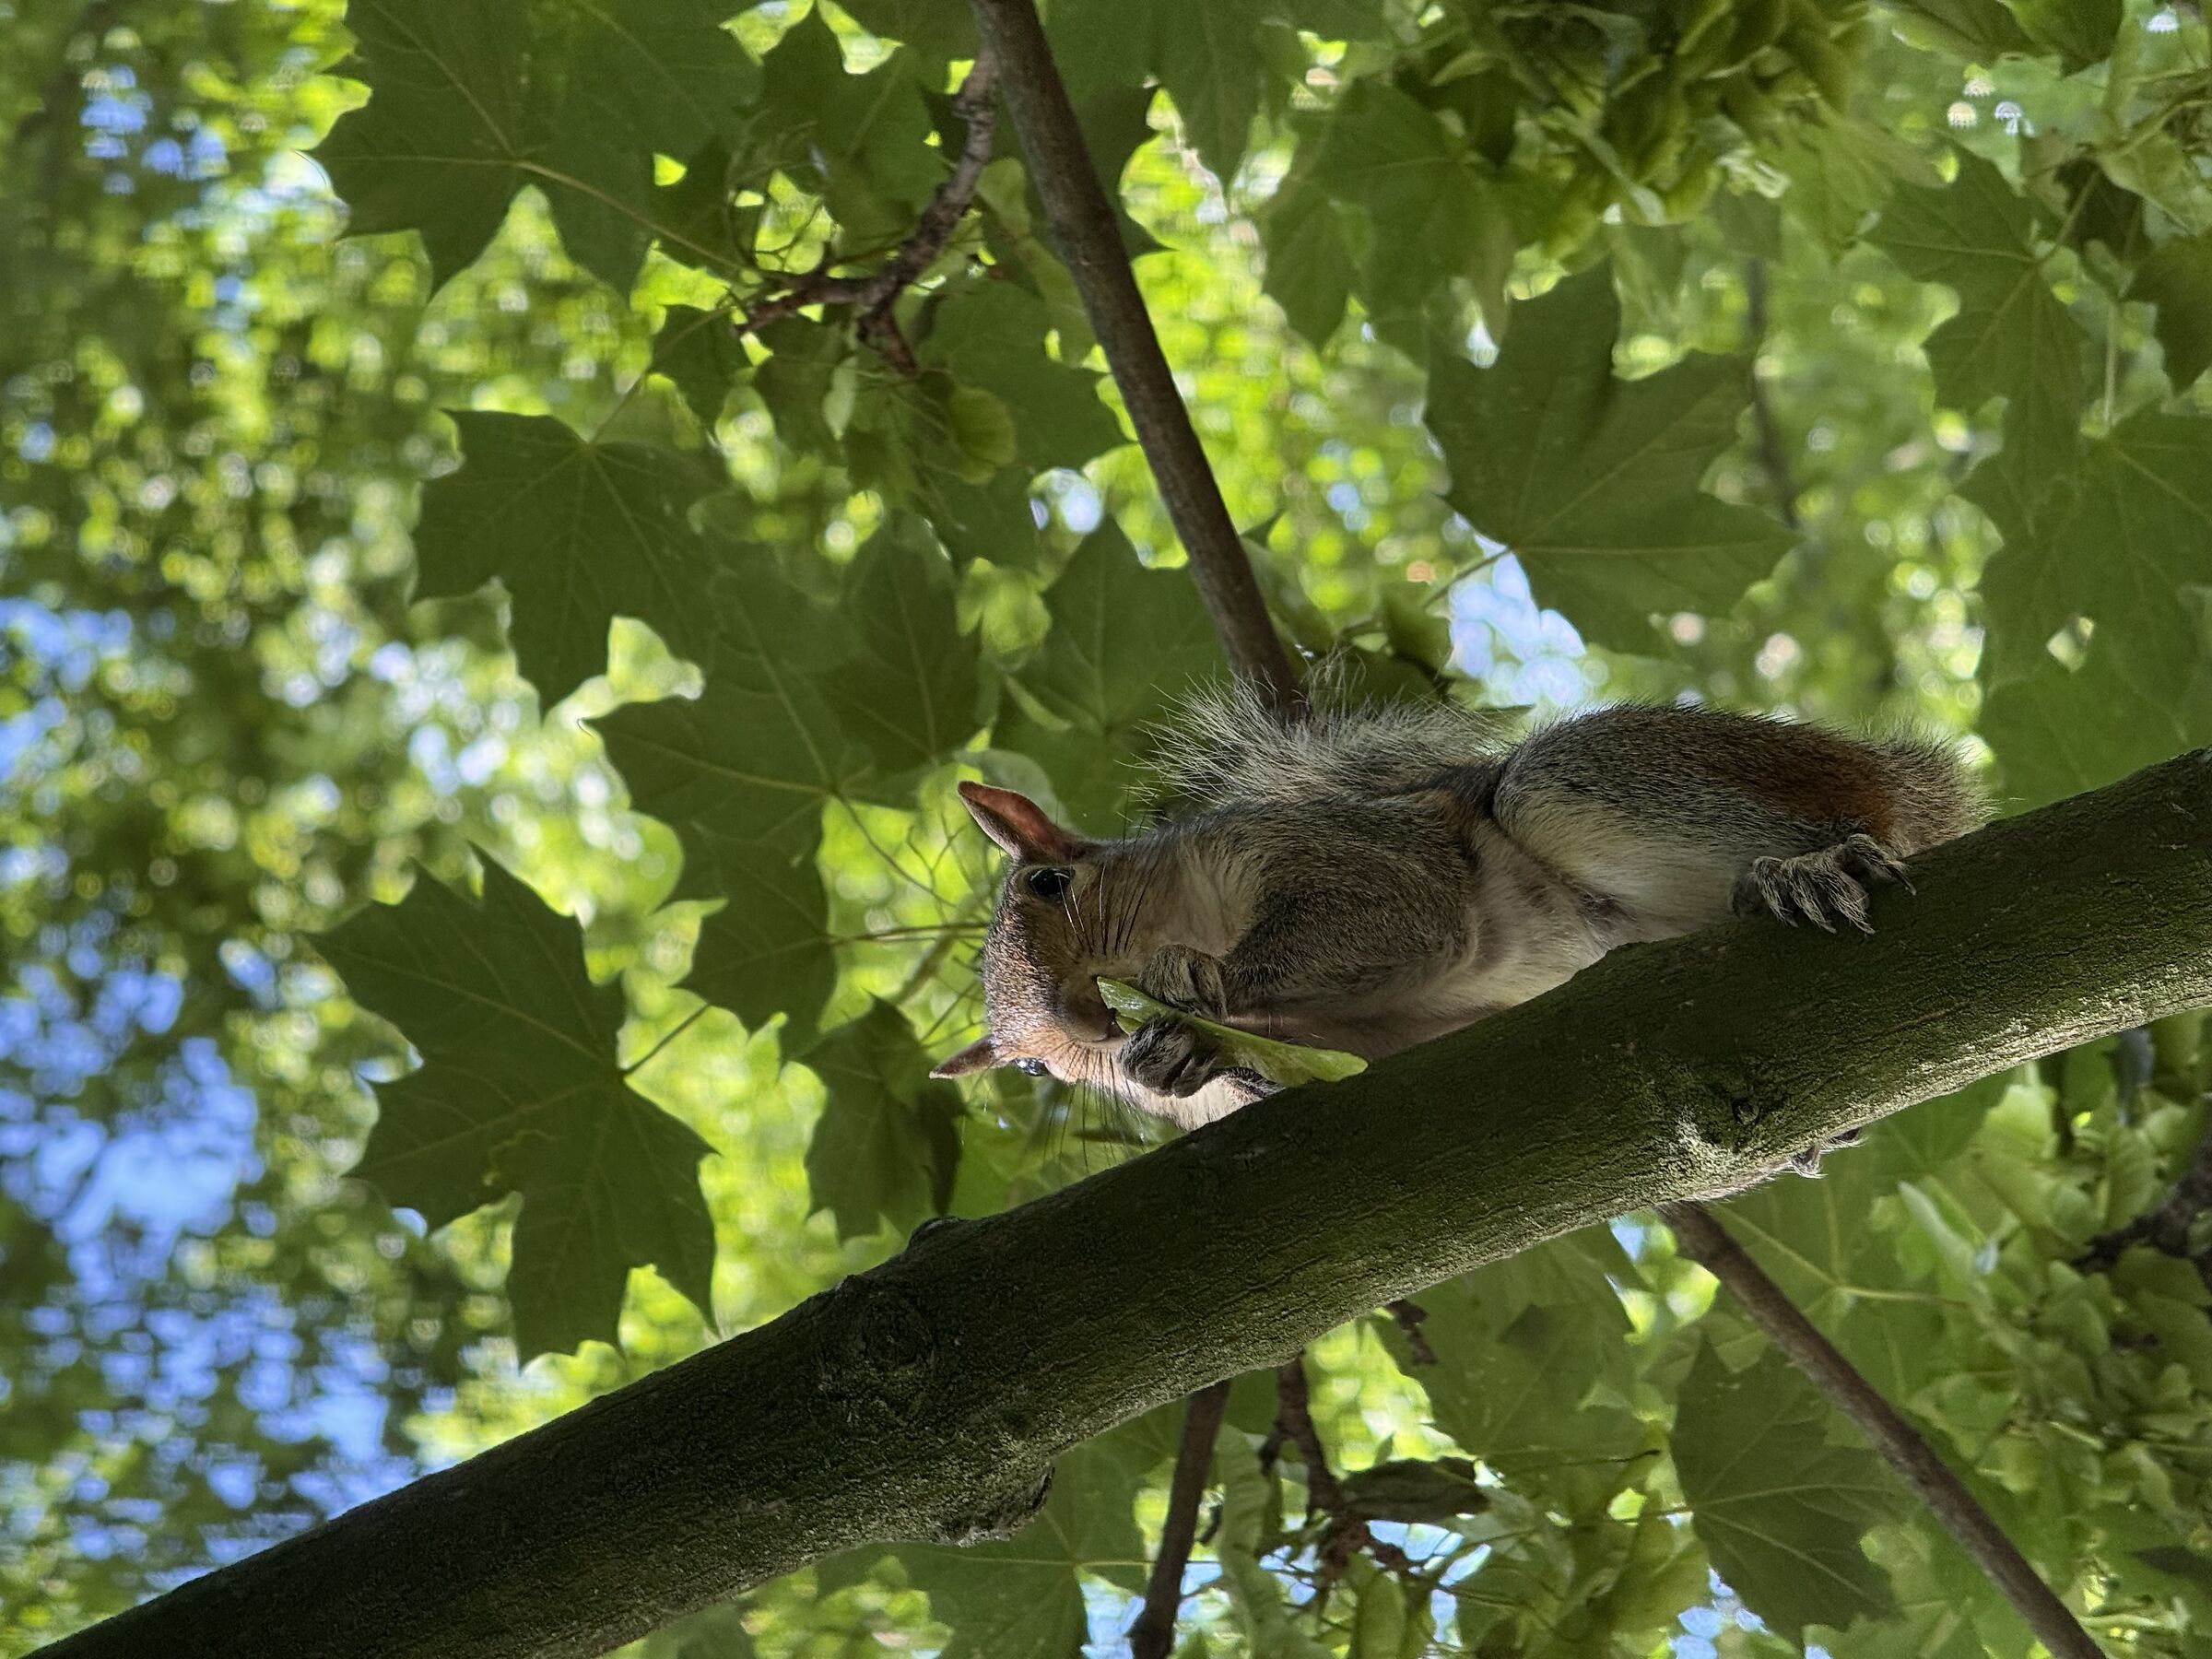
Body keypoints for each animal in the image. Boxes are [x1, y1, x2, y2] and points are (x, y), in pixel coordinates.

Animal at [930, 689, 1982, 1133]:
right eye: (1032, 1065)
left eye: (1050, 884)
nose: (1088, 1024)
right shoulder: (1385, 1035)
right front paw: (1186, 1054)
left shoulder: (1351, 858)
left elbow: (1394, 917)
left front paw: (1199, 985)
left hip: (1579, 783)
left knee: (1853, 819)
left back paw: (1808, 863)